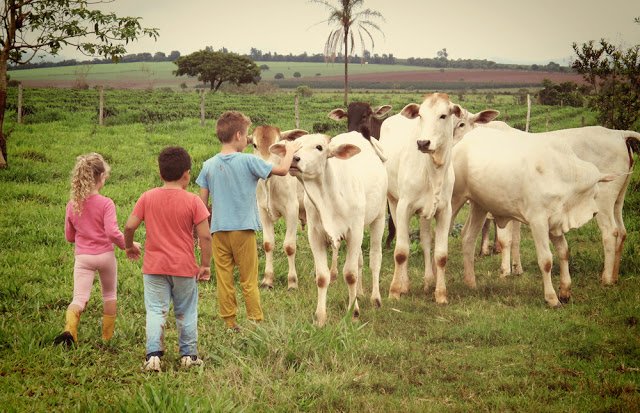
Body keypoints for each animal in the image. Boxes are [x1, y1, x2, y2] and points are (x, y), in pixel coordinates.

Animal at [251, 126, 308, 290]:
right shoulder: (262, 211)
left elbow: (289, 246)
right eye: (254, 145)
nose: (267, 167)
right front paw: (267, 280)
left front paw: (292, 282)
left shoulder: (292, 210)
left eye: (277, 144)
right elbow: (268, 244)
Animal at [268, 131, 384, 326]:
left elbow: (350, 274)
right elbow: (322, 277)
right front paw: (320, 317)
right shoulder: (315, 235)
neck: (329, 196)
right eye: (294, 146)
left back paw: (375, 298)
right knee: (360, 260)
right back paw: (360, 292)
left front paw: (354, 312)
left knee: (375, 259)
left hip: (379, 219)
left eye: (319, 147)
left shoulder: (354, 233)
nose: (295, 159)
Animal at [378, 91, 462, 300]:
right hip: (393, 201)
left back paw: (428, 281)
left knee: (425, 240)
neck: (432, 169)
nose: (423, 142)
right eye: (421, 116)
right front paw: (395, 290)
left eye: (443, 115)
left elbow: (441, 255)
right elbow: (401, 251)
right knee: (404, 238)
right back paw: (404, 284)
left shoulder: (444, 211)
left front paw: (440, 294)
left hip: (425, 213)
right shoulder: (404, 207)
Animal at [450, 128, 616, 306]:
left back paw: (470, 282)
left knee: (468, 238)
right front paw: (551, 298)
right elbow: (546, 260)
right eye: (595, 193)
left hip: (479, 205)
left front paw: (565, 291)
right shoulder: (538, 221)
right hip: (454, 200)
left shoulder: (555, 222)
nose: (595, 212)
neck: (562, 173)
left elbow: (564, 252)